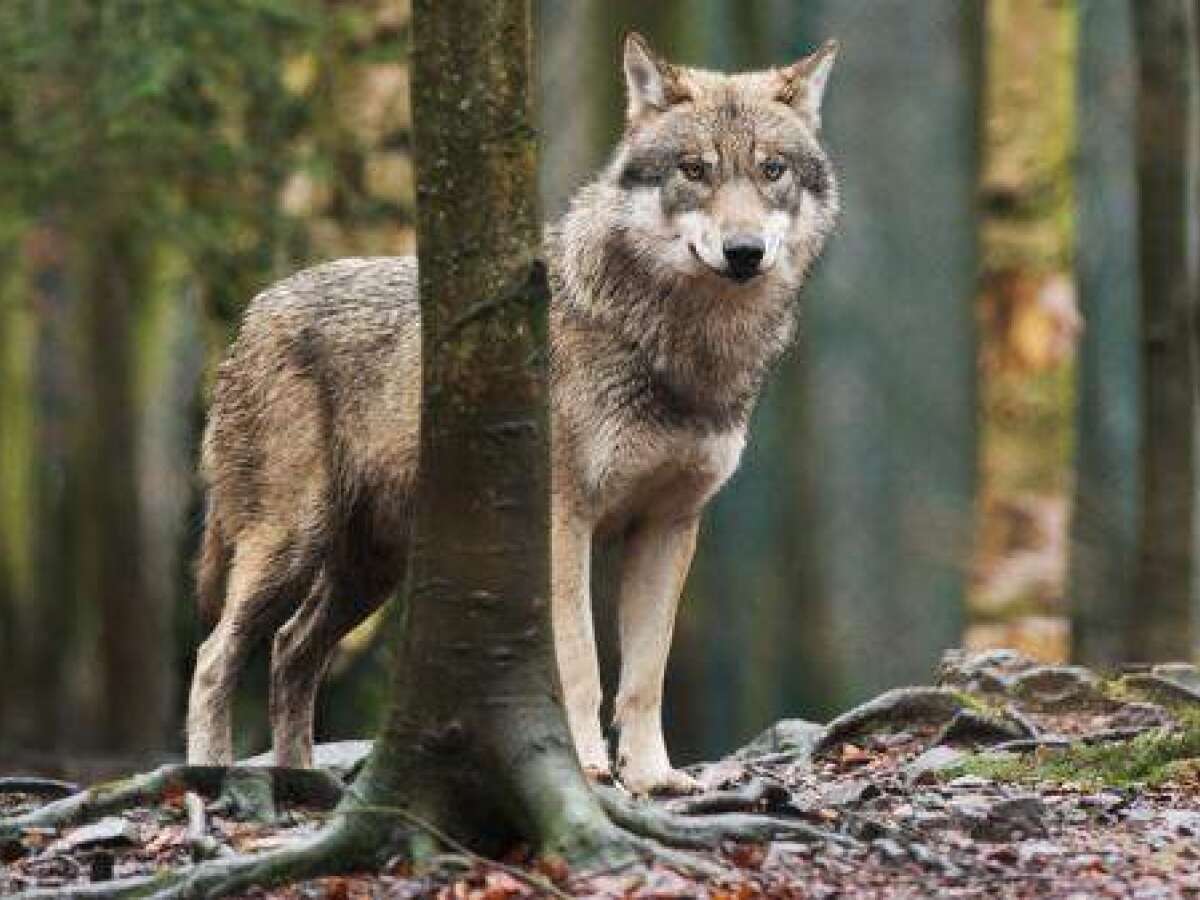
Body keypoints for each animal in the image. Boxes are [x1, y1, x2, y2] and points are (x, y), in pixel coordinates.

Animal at [187, 32, 839, 796]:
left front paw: (654, 777)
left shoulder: (669, 526)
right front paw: (586, 769)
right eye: (694, 170)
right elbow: (581, 665)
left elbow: (646, 675)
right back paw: (209, 777)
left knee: (291, 651)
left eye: (771, 170)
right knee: (215, 655)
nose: (744, 252)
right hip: (292, 544)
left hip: (370, 570)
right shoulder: (563, 520)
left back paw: (302, 782)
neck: (678, 349)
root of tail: (254, 310)